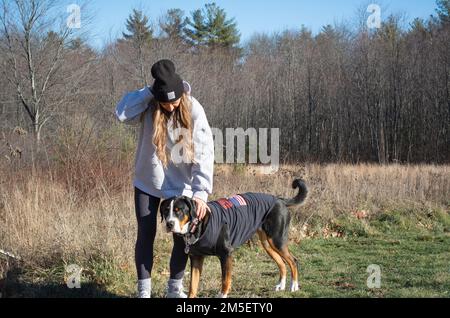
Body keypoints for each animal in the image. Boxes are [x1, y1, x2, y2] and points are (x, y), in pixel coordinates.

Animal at [160, 179, 308, 298]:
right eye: (166, 210)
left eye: (179, 210)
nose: (169, 224)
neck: (198, 224)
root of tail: (279, 199)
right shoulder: (196, 258)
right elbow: (193, 286)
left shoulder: (226, 254)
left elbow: (225, 280)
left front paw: (222, 296)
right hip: (267, 243)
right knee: (281, 262)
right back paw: (281, 285)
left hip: (277, 240)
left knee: (293, 261)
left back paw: (294, 286)